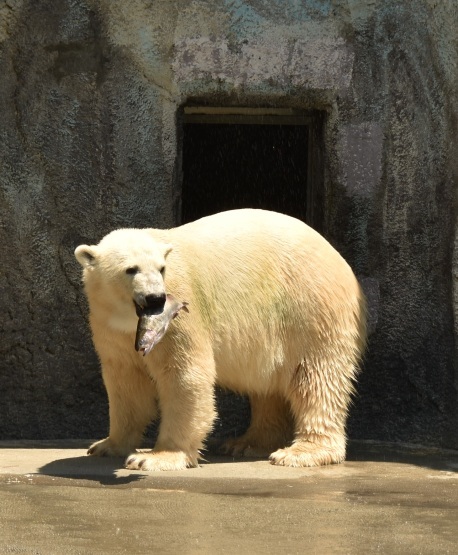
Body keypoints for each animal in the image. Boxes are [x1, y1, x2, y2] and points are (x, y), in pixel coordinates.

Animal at [76, 211, 368, 472]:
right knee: (269, 388)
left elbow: (184, 375)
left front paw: (155, 457)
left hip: (311, 308)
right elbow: (126, 382)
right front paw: (106, 445)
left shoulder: (180, 312)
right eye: (130, 269)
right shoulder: (110, 328)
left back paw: (301, 452)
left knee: (316, 378)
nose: (155, 298)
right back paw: (247, 443)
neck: (126, 315)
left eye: (161, 269)